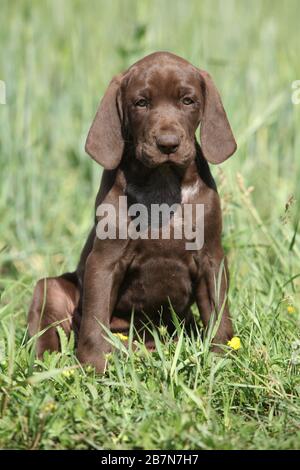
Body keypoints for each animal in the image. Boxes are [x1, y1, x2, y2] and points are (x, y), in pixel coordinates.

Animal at [27, 51, 237, 372]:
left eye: (188, 101)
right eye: (141, 103)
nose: (167, 144)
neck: (162, 183)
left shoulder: (210, 258)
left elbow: (218, 314)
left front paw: (220, 359)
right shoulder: (105, 261)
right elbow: (95, 318)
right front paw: (94, 366)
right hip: (52, 289)